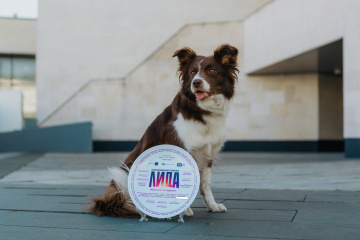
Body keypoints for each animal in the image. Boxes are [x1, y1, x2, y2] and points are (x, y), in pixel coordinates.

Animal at [88, 43, 238, 218]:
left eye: (212, 70)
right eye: (192, 72)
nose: (196, 83)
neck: (200, 110)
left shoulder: (208, 153)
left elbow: (206, 185)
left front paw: (213, 206)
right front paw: (184, 210)